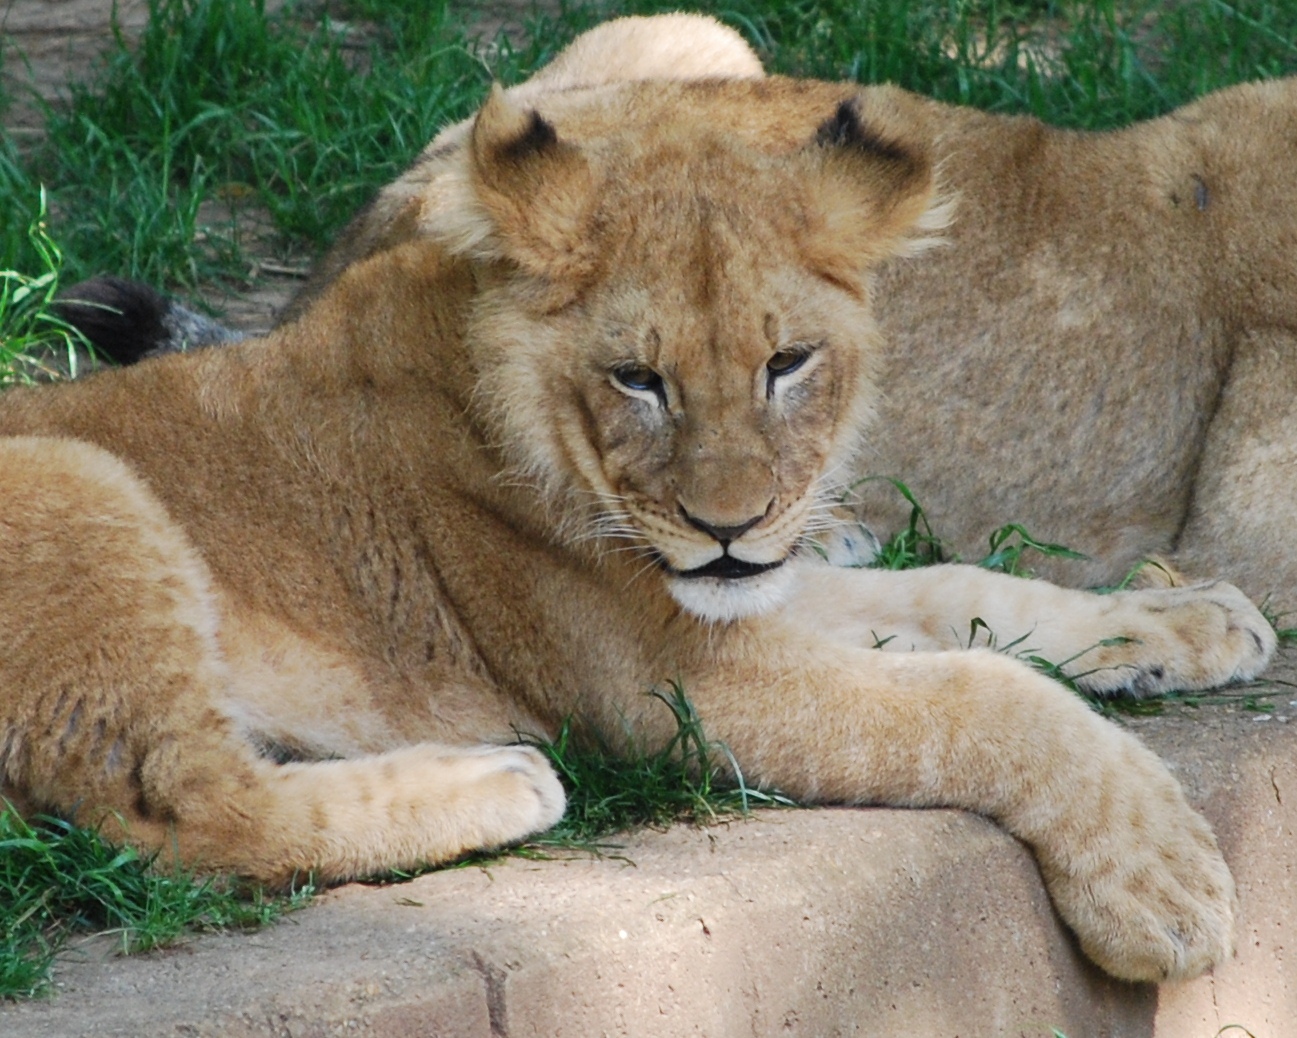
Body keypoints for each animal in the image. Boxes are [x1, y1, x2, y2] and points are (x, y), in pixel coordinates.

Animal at [1, 70, 1281, 985]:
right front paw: (1161, 879)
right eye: (637, 379)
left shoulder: (745, 593)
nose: (728, 527)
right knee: (175, 809)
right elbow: (982, 697)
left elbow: (964, 591)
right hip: (77, 475)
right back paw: (496, 778)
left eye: (785, 363)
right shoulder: (671, 682)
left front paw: (1187, 619)